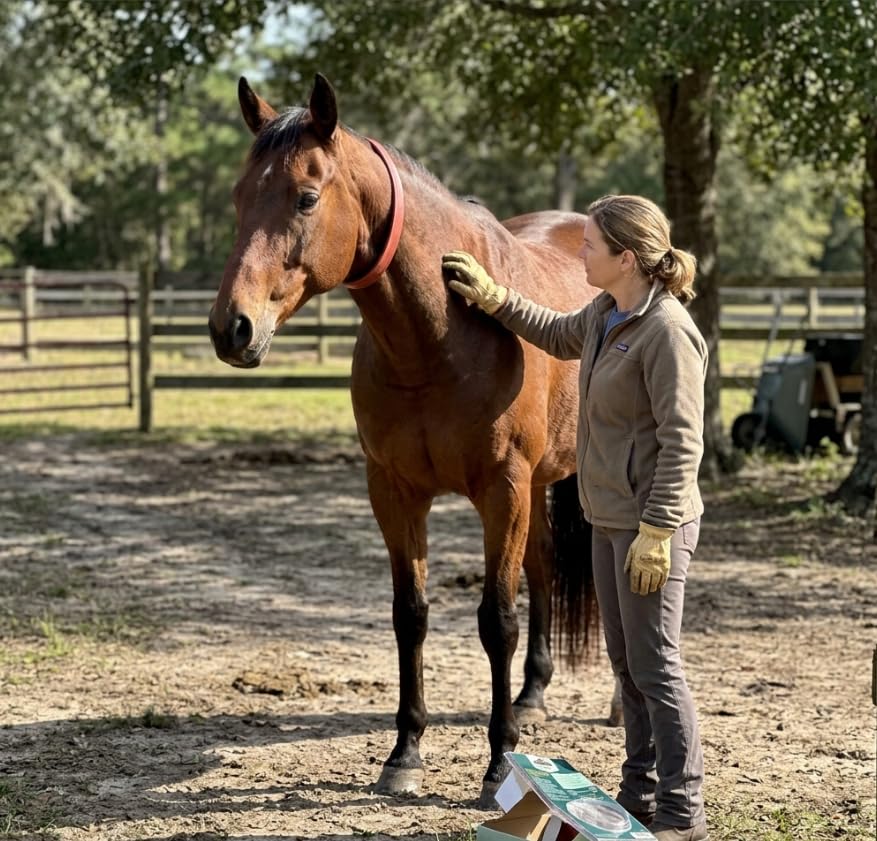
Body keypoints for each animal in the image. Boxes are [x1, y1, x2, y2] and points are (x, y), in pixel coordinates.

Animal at [209, 73, 608, 807]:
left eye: (306, 196)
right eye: (239, 196)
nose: (232, 328)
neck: (441, 335)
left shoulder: (501, 491)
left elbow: (495, 620)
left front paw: (498, 762)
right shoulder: (394, 492)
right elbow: (411, 615)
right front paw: (405, 752)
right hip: (538, 486)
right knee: (542, 567)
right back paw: (532, 694)